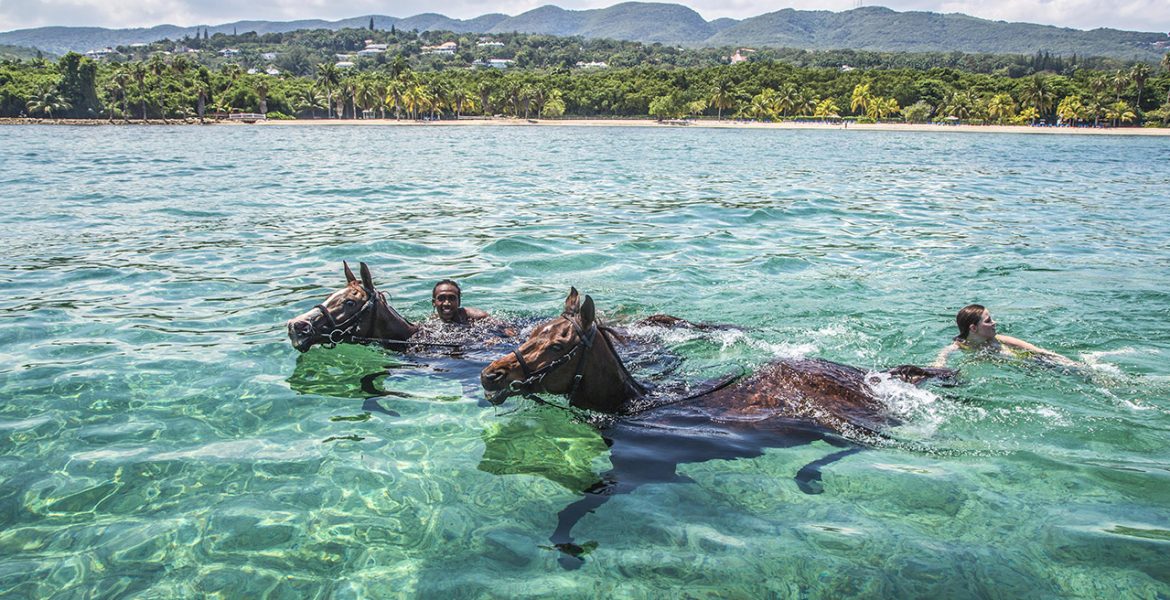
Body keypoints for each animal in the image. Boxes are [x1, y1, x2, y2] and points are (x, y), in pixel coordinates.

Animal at [479, 287, 954, 568]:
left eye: (557, 344)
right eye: (532, 333)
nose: (491, 376)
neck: (638, 406)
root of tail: (874, 375)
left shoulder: (642, 473)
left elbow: (572, 509)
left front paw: (567, 550)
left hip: (839, 424)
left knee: (868, 446)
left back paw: (808, 475)